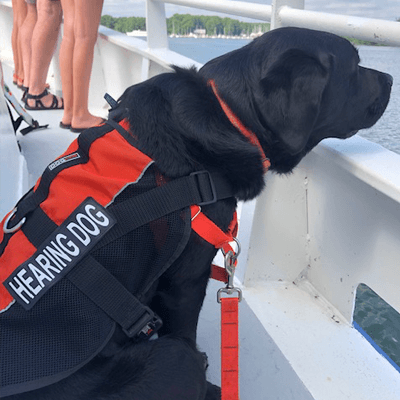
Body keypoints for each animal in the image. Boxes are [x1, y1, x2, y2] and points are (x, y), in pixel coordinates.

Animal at [3, 26, 390, 398]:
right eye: (355, 66)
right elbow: (186, 329)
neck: (230, 114)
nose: (389, 78)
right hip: (170, 358)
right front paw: (209, 383)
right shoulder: (186, 281)